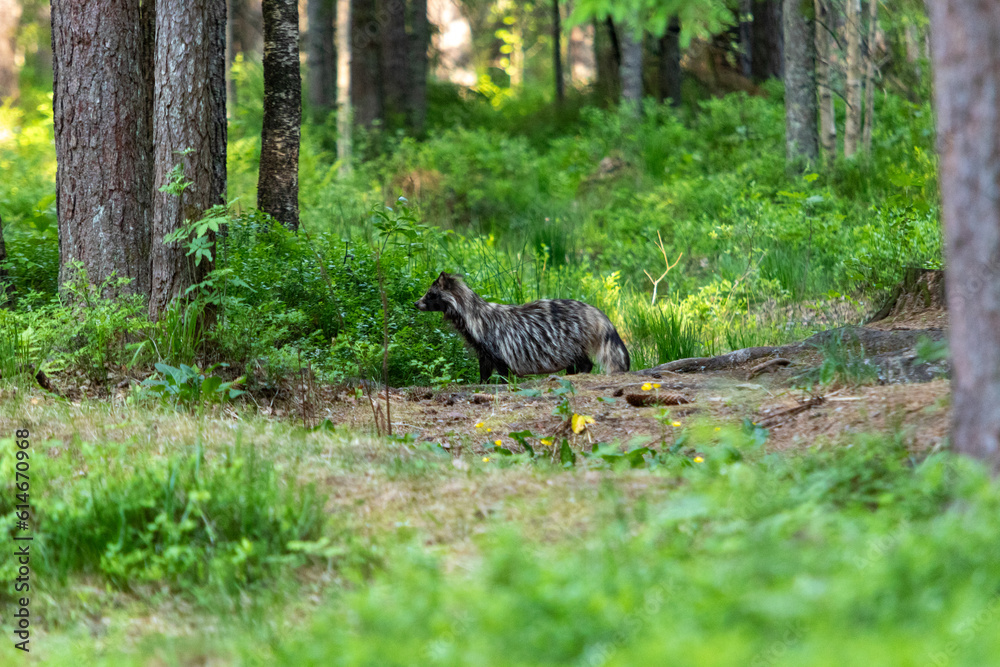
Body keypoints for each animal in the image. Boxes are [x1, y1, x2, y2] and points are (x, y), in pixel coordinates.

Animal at [415, 272, 630, 382]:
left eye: (431, 294)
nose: (416, 303)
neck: (474, 314)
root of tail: (594, 312)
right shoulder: (482, 348)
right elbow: (484, 368)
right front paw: (483, 383)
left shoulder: (495, 343)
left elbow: (503, 370)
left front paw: (505, 383)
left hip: (571, 338)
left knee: (583, 361)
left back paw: (578, 372)